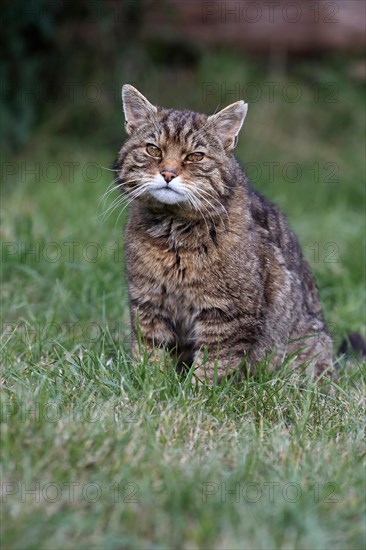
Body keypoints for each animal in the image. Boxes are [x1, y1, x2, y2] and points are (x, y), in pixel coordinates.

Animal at [113, 84, 334, 382]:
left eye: (195, 156)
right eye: (153, 150)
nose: (168, 173)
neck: (174, 232)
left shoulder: (228, 313)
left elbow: (213, 365)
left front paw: (196, 390)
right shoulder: (148, 303)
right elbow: (150, 352)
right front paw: (148, 382)